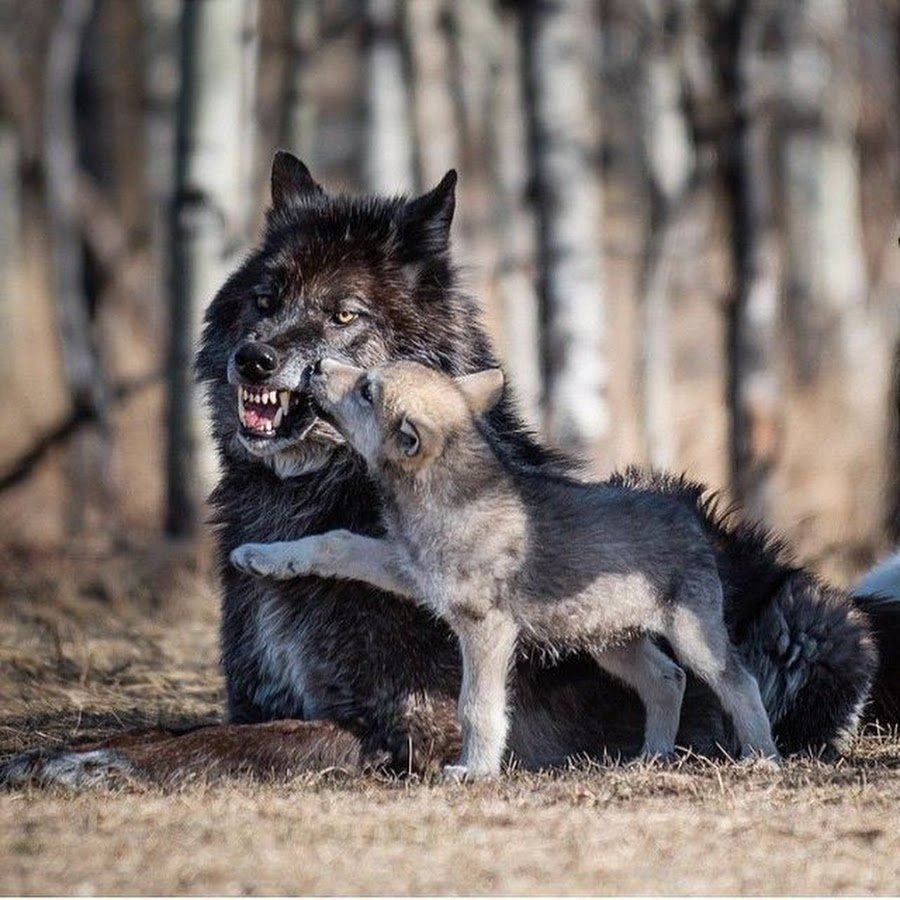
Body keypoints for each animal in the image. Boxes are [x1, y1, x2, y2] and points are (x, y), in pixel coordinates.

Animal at [0, 151, 896, 784]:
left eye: (344, 315)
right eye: (265, 298)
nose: (253, 360)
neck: (319, 493)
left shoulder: (397, 726)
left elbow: (229, 748)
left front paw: (92, 765)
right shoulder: (258, 691)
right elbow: (182, 727)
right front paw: (57, 752)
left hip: (802, 627)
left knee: (733, 687)